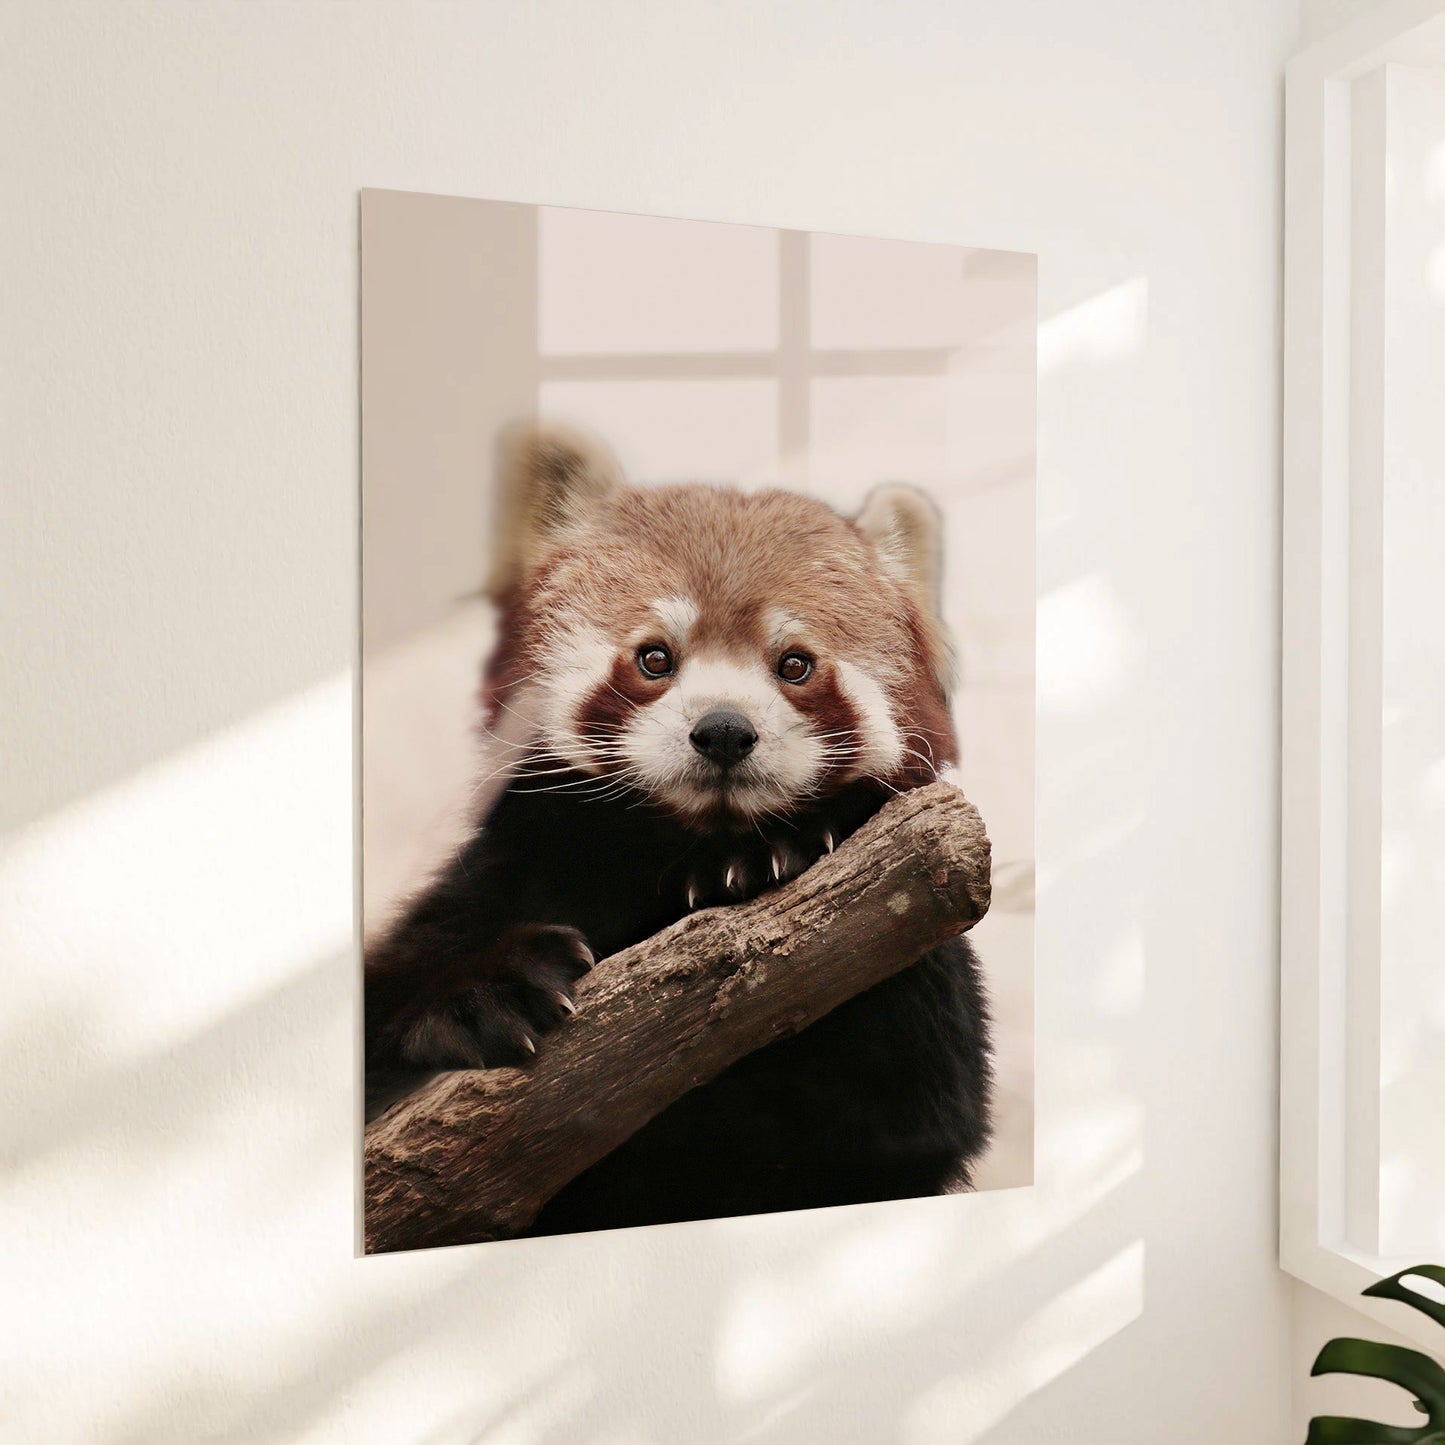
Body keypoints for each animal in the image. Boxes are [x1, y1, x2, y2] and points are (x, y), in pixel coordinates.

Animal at [364, 421, 993, 1237]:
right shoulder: (513, 864)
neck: (674, 847)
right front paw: (480, 994)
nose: (723, 730)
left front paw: (771, 853)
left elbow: (909, 1104)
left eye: (795, 664)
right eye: (655, 657)